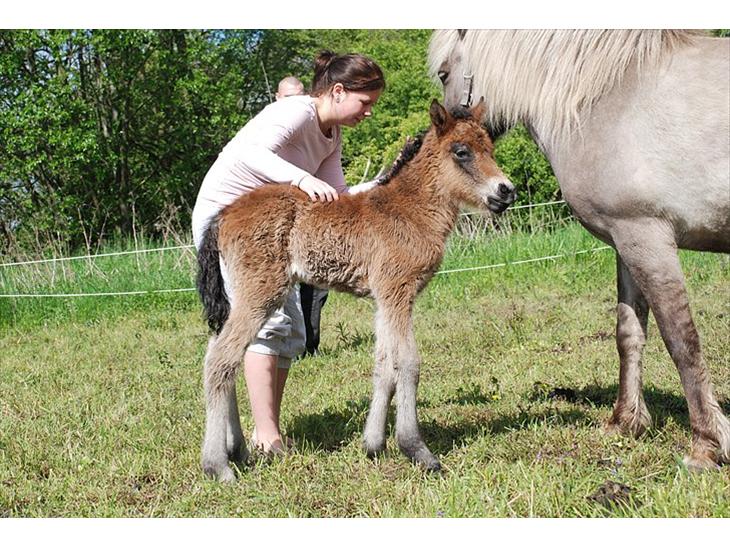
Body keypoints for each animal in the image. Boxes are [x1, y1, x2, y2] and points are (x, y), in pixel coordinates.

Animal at [196, 100, 516, 482]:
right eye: (462, 152)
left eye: (491, 148)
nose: (506, 190)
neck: (409, 211)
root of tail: (224, 214)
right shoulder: (397, 291)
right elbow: (408, 363)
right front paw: (417, 449)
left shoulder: (385, 299)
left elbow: (384, 365)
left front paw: (373, 444)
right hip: (260, 292)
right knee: (220, 359)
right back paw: (218, 466)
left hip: (238, 296)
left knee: (221, 352)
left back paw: (238, 450)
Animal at [428, 29, 730, 470]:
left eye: (444, 73)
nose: (441, 140)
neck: (608, 97)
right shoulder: (627, 240)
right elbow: (629, 333)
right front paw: (625, 423)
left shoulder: (647, 238)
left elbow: (681, 339)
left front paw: (707, 444)